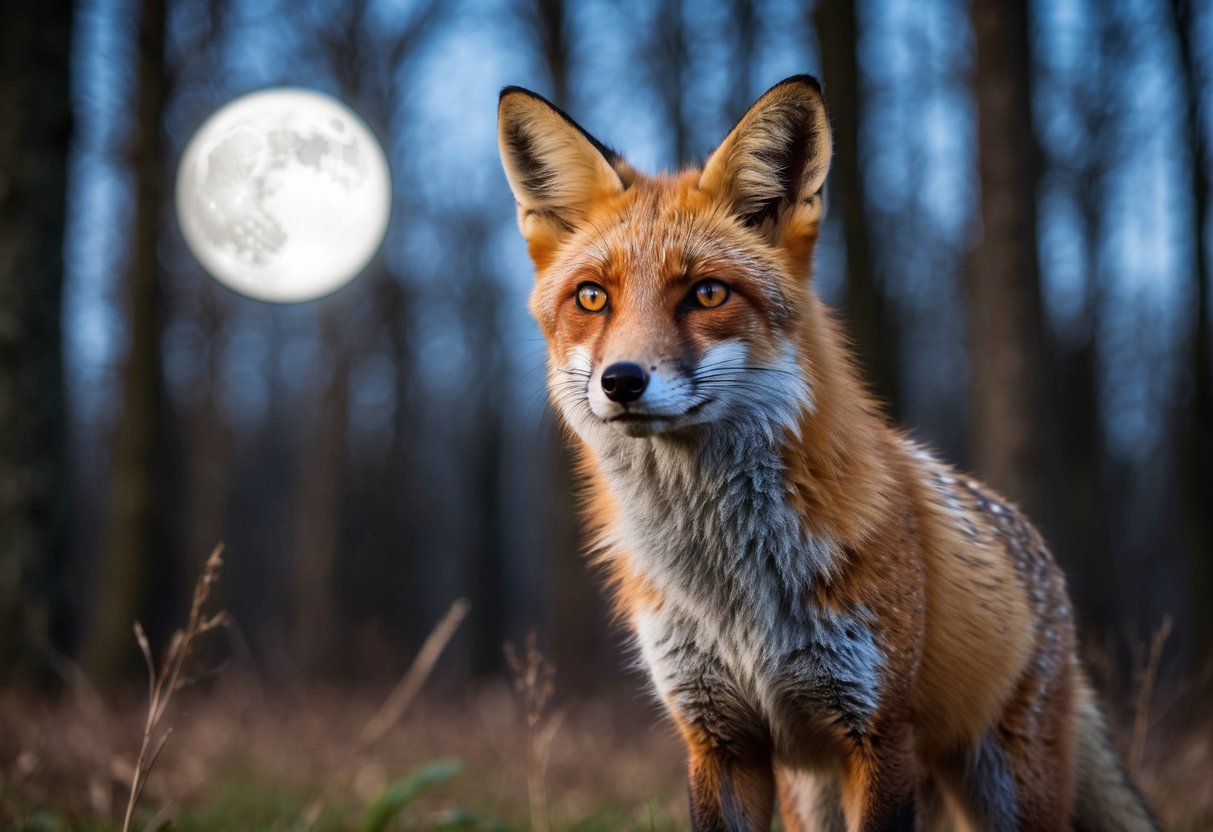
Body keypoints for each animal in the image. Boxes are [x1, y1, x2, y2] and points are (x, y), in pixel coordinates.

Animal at [496, 75, 1160, 832]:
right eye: (591, 298)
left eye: (707, 293)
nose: (622, 381)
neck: (730, 587)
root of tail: (1034, 547)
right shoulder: (717, 738)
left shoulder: (877, 732)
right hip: (812, 792)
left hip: (1001, 790)